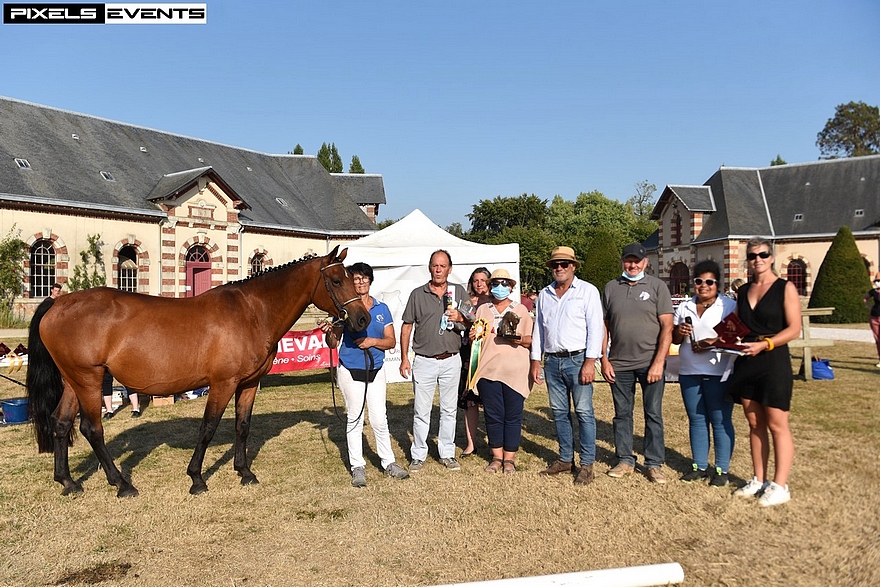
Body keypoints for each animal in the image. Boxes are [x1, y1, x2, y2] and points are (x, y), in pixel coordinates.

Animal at [24, 246, 368, 498]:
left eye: (351, 278)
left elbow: (242, 426)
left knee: (60, 423)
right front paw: (197, 479)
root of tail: (57, 304)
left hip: (74, 381)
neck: (252, 311)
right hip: (90, 380)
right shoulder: (222, 384)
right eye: (336, 281)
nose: (362, 319)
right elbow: (208, 428)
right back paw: (122, 484)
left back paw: (68, 482)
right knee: (91, 429)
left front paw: (245, 472)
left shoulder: (248, 384)